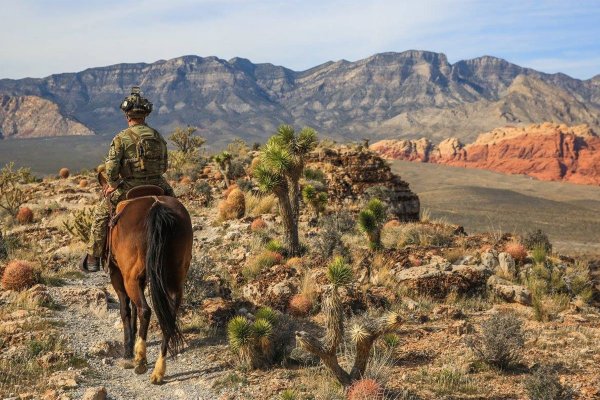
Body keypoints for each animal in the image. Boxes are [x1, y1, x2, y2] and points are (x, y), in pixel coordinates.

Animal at [98, 175, 192, 384]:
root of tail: (157, 205)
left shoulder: (118, 275)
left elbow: (125, 309)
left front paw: (128, 349)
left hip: (130, 278)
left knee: (145, 310)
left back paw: (140, 360)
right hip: (175, 279)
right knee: (169, 316)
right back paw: (158, 370)